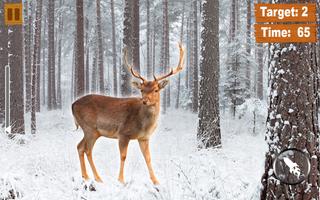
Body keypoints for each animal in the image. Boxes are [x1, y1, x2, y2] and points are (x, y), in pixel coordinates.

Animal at [71, 43, 184, 184]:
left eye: (156, 90)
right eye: (142, 90)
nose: (144, 100)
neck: (143, 124)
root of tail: (73, 105)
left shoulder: (144, 138)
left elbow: (148, 158)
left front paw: (156, 181)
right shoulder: (123, 133)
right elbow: (123, 156)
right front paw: (121, 180)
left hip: (92, 131)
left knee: (79, 146)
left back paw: (86, 176)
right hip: (89, 128)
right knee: (87, 149)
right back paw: (97, 178)